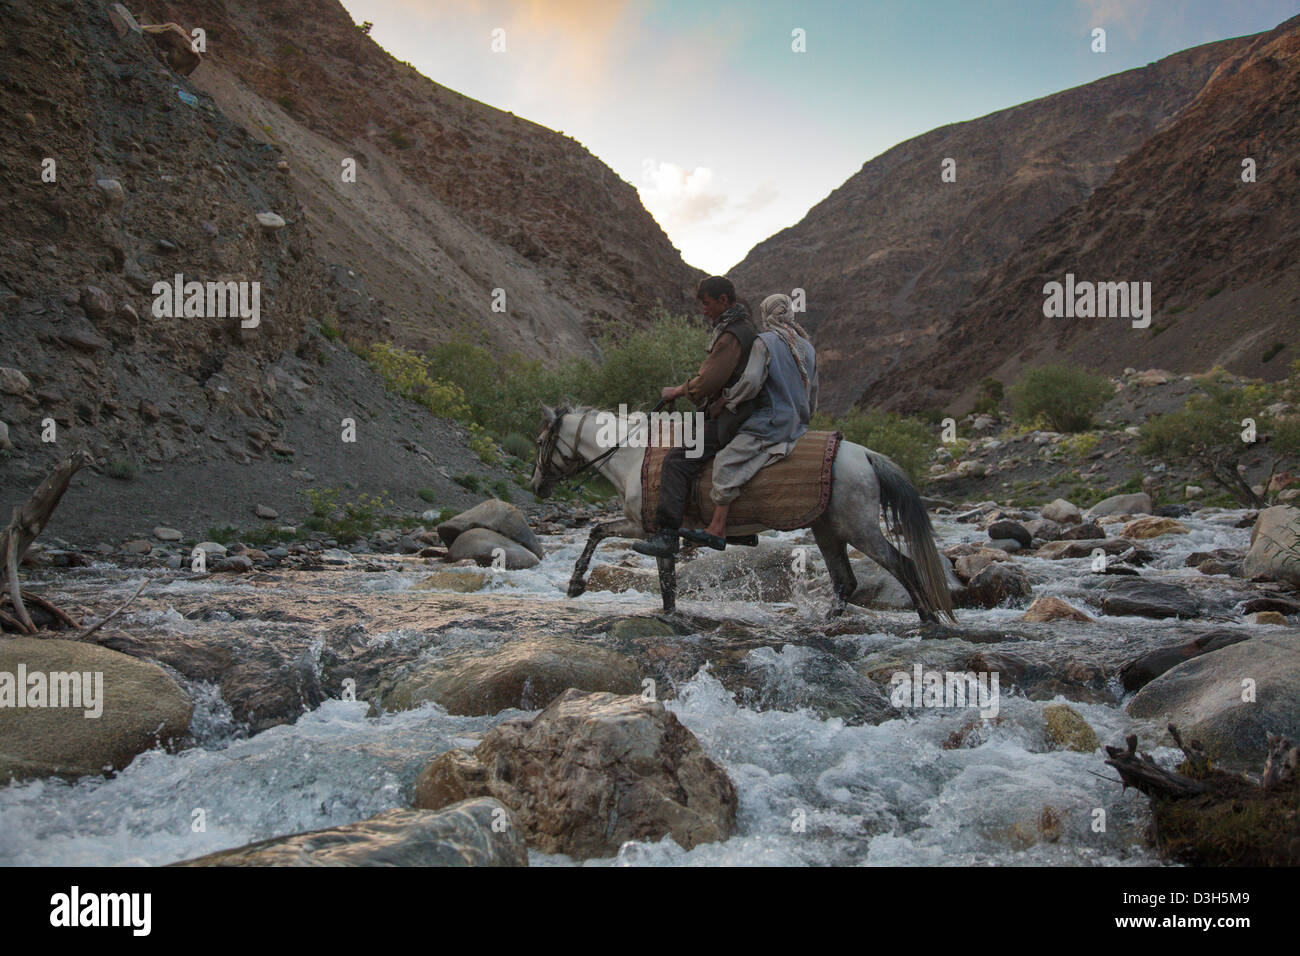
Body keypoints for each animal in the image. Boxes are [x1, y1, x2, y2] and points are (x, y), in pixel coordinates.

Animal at [530, 403, 956, 621]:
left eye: (539, 441)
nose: (536, 486)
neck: (633, 456)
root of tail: (865, 454)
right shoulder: (655, 530)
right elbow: (664, 576)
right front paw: (668, 614)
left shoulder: (643, 526)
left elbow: (597, 532)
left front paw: (575, 584)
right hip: (827, 529)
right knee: (845, 581)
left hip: (859, 529)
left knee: (901, 564)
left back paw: (928, 619)